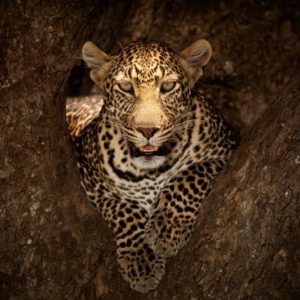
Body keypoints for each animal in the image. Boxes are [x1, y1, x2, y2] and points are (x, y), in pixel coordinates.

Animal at [66, 38, 239, 294]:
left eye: (167, 86)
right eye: (126, 87)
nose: (147, 130)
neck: (151, 171)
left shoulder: (225, 150)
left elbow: (188, 176)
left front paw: (167, 228)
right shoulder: (91, 183)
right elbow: (123, 210)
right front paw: (141, 261)